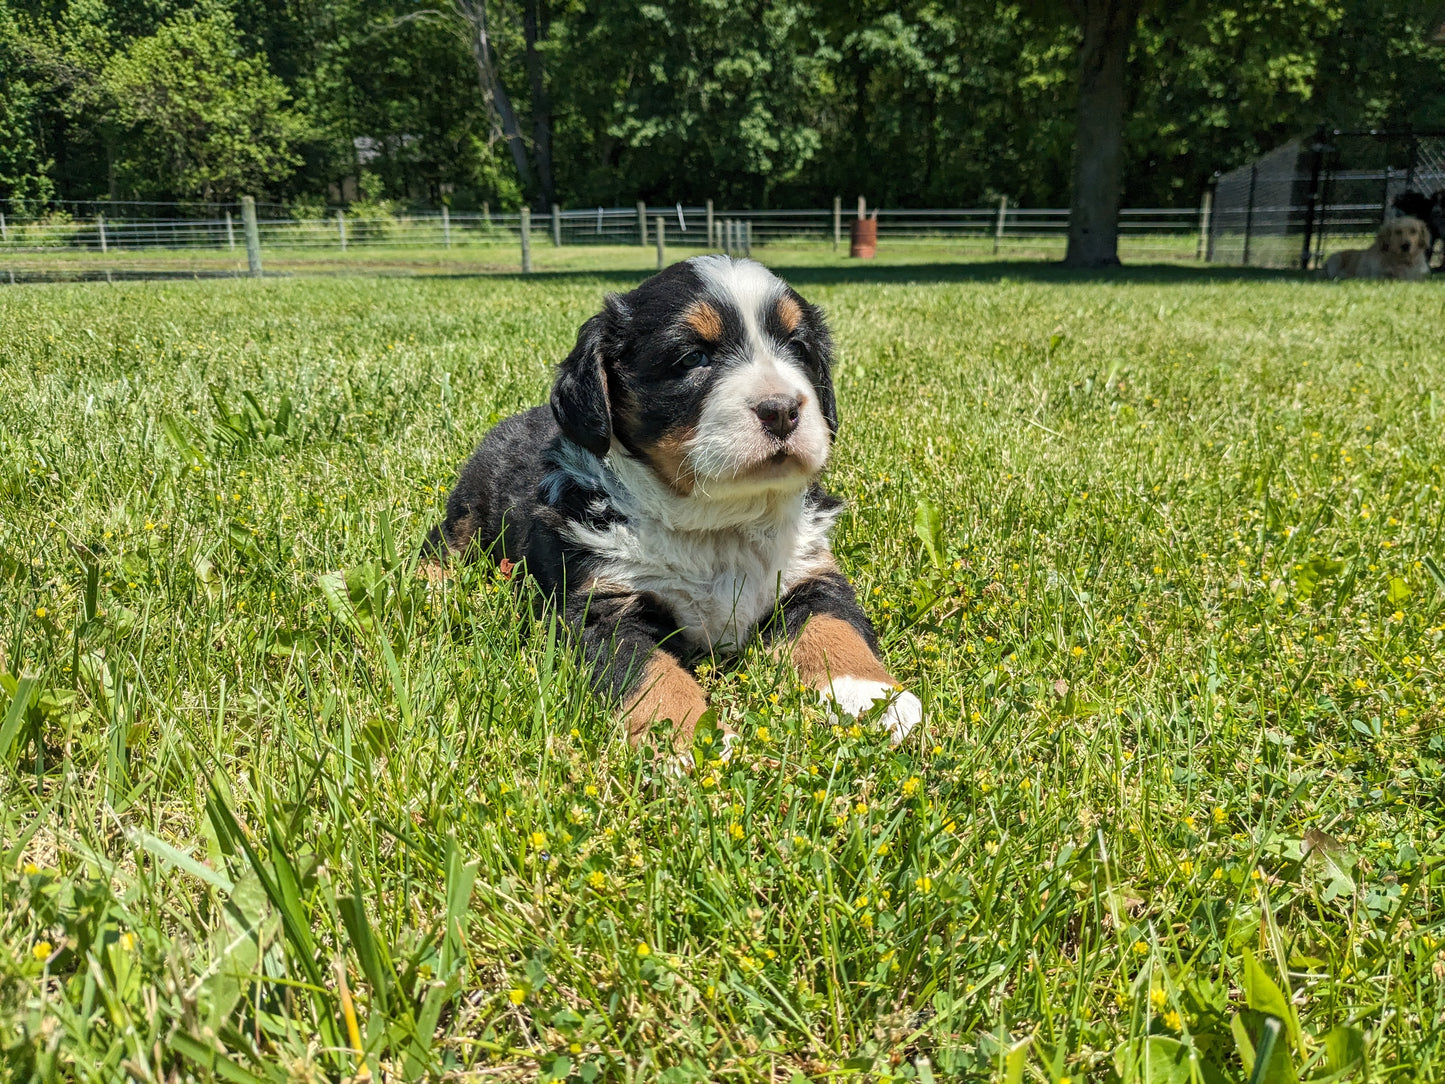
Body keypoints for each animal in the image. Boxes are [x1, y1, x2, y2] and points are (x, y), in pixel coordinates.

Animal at [424, 258, 924, 757]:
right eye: (692, 358)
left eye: (798, 348)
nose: (781, 409)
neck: (719, 523)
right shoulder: (601, 607)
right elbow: (651, 674)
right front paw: (689, 738)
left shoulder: (810, 570)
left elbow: (834, 628)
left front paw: (872, 696)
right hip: (471, 508)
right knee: (441, 543)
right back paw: (434, 589)